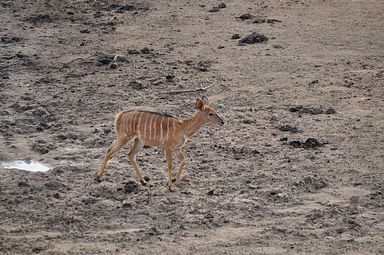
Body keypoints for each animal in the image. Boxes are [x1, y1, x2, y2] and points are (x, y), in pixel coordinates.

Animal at [97, 96, 225, 190]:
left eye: (215, 111)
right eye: (211, 114)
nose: (222, 122)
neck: (183, 127)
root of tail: (119, 116)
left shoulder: (177, 148)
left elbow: (184, 160)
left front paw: (175, 180)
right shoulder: (168, 146)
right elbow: (170, 164)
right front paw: (170, 186)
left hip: (139, 140)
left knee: (131, 154)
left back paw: (143, 181)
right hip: (124, 137)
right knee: (109, 150)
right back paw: (99, 177)